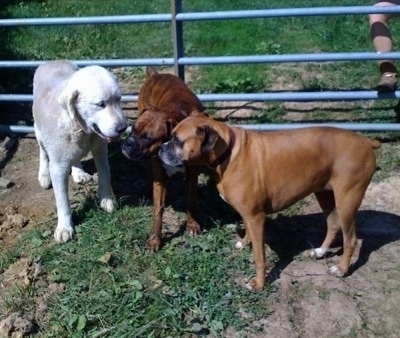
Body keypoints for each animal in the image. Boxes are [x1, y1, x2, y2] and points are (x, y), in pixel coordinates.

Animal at [32, 60, 127, 243]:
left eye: (119, 100)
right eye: (101, 104)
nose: (122, 128)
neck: (81, 128)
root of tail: (53, 61)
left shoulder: (100, 148)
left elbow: (105, 174)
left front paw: (107, 200)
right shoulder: (58, 166)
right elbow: (62, 199)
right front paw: (64, 228)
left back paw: (78, 172)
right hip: (38, 130)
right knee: (42, 152)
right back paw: (44, 175)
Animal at [121, 66, 203, 251]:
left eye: (147, 138)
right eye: (132, 129)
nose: (127, 143)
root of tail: (156, 74)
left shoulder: (192, 176)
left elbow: (192, 201)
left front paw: (192, 224)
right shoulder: (160, 179)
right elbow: (158, 211)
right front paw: (154, 239)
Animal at [158, 114, 380, 294]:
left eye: (177, 140)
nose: (160, 148)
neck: (228, 151)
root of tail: (365, 140)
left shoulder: (256, 217)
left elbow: (259, 256)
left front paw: (258, 283)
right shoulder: (248, 215)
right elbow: (247, 230)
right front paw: (244, 242)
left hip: (347, 201)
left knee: (351, 240)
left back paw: (341, 270)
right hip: (324, 194)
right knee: (332, 224)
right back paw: (320, 252)